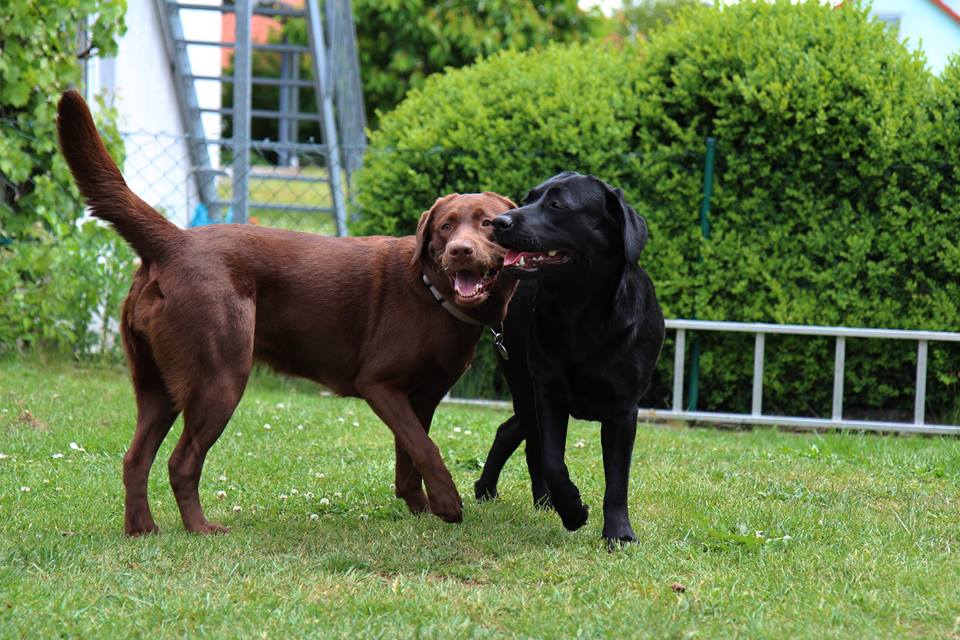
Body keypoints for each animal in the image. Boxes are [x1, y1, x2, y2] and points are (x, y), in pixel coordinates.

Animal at [54, 90, 516, 536]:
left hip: (157, 384)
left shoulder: (421, 397)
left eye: (488, 224)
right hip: (219, 377)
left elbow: (410, 456)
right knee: (181, 462)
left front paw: (421, 508)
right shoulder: (379, 384)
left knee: (135, 458)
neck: (432, 293)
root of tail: (175, 241)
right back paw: (200, 528)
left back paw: (142, 530)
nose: (460, 251)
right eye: (445, 227)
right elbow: (426, 448)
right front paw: (448, 504)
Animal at [474, 172, 668, 544]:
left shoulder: (623, 410)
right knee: (527, 443)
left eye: (557, 204)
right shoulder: (549, 394)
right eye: (528, 198)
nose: (499, 222)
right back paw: (514, 494)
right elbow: (553, 461)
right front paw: (574, 511)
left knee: (510, 430)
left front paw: (619, 533)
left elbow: (618, 477)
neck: (581, 313)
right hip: (523, 386)